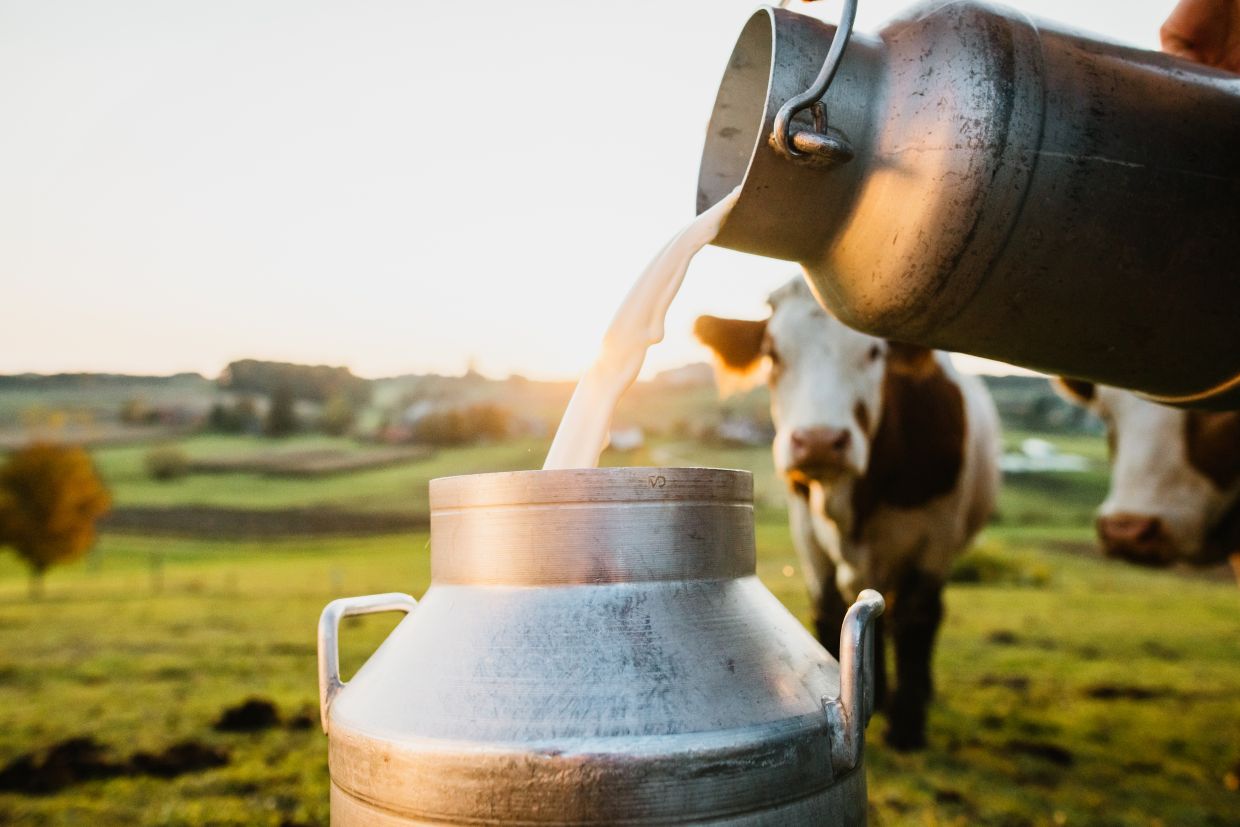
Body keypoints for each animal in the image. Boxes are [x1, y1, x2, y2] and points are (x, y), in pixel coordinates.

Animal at [694, 277, 1001, 748]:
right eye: (772, 353)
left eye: (874, 353)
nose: (819, 441)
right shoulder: (806, 533)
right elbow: (828, 610)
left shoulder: (936, 536)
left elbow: (917, 619)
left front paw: (907, 725)